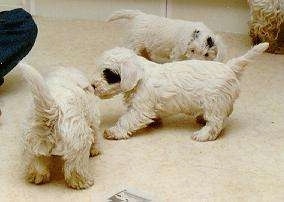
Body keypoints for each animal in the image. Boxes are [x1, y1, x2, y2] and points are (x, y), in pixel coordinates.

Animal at [91, 42, 268, 141]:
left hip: (214, 104)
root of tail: (229, 67)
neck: (140, 77)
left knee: (216, 124)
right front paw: (156, 122)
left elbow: (126, 120)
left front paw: (113, 132)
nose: (92, 85)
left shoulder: (139, 109)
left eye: (108, 74)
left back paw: (203, 135)